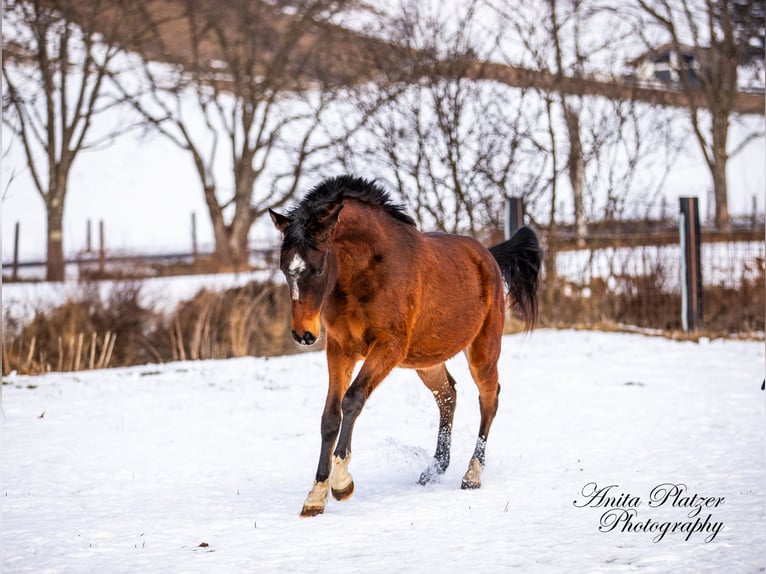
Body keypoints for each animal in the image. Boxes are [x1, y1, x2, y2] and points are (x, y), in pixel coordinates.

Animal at [270, 176, 540, 516]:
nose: (303, 334)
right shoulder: (341, 350)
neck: (366, 272)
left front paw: (342, 484)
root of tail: (488, 257)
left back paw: (472, 475)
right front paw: (315, 496)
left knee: (489, 398)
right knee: (448, 395)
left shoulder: (387, 347)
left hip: (483, 350)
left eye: (318, 269)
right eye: (284, 269)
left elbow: (352, 400)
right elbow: (330, 416)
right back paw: (434, 469)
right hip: (426, 359)